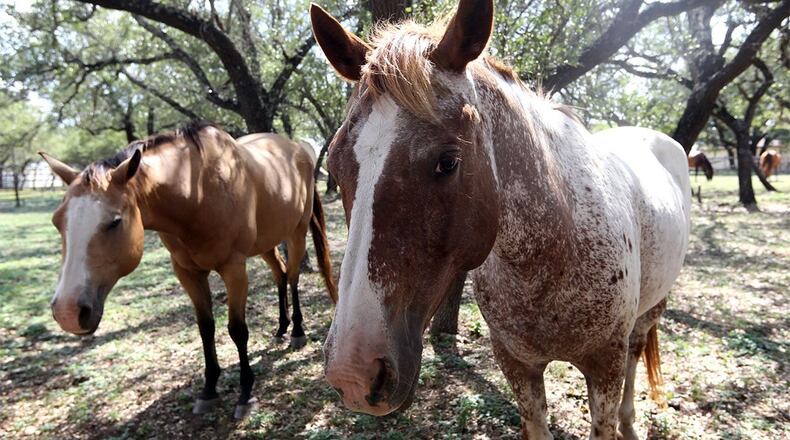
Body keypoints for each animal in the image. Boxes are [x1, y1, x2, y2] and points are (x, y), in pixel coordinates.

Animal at [39, 121, 337, 419]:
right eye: (56, 221)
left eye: (114, 221)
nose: (67, 312)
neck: (197, 192)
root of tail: (300, 150)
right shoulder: (186, 272)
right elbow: (205, 327)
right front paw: (209, 390)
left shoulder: (234, 268)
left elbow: (237, 330)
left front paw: (245, 394)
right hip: (265, 243)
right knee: (281, 274)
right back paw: (281, 328)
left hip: (296, 233)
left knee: (294, 276)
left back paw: (297, 332)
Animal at [310, 1, 690, 438]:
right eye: (335, 166)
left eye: (448, 161)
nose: (353, 374)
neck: (554, 251)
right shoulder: (516, 365)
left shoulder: (604, 369)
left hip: (651, 311)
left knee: (635, 353)